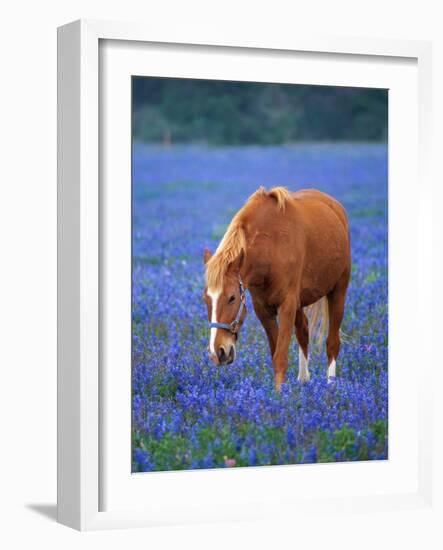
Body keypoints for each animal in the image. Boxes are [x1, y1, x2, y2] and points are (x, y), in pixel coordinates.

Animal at [203, 188, 352, 390]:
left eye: (232, 298)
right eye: (206, 299)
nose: (217, 353)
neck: (270, 247)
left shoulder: (287, 306)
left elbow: (281, 357)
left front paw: (278, 395)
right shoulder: (263, 310)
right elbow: (276, 353)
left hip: (338, 291)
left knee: (332, 342)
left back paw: (331, 386)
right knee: (304, 332)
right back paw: (303, 380)